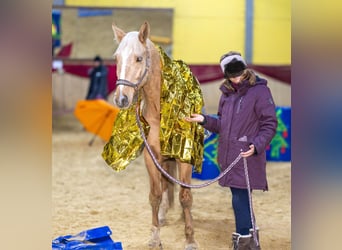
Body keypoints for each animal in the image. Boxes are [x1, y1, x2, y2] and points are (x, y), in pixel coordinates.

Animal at [108, 22, 203, 250]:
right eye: (116, 58)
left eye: (139, 58)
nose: (121, 99)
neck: (159, 108)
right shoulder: (151, 158)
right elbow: (155, 195)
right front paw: (155, 236)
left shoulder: (184, 157)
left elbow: (185, 196)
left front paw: (190, 239)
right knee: (165, 184)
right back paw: (163, 215)